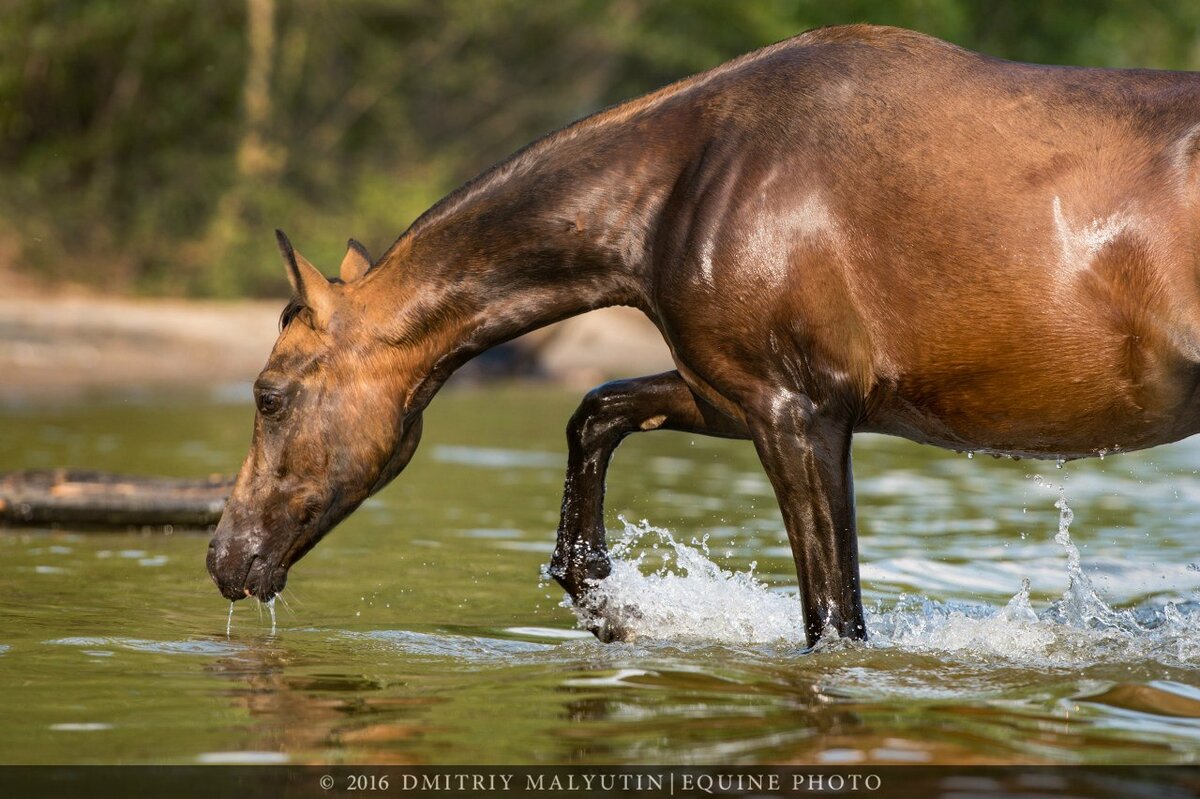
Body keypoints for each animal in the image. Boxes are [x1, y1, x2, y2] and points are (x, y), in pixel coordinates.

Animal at [208, 24, 1200, 647]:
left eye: (269, 396)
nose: (223, 557)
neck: (692, 174)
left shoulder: (796, 416)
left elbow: (834, 620)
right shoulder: (730, 396)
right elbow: (595, 414)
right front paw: (607, 605)